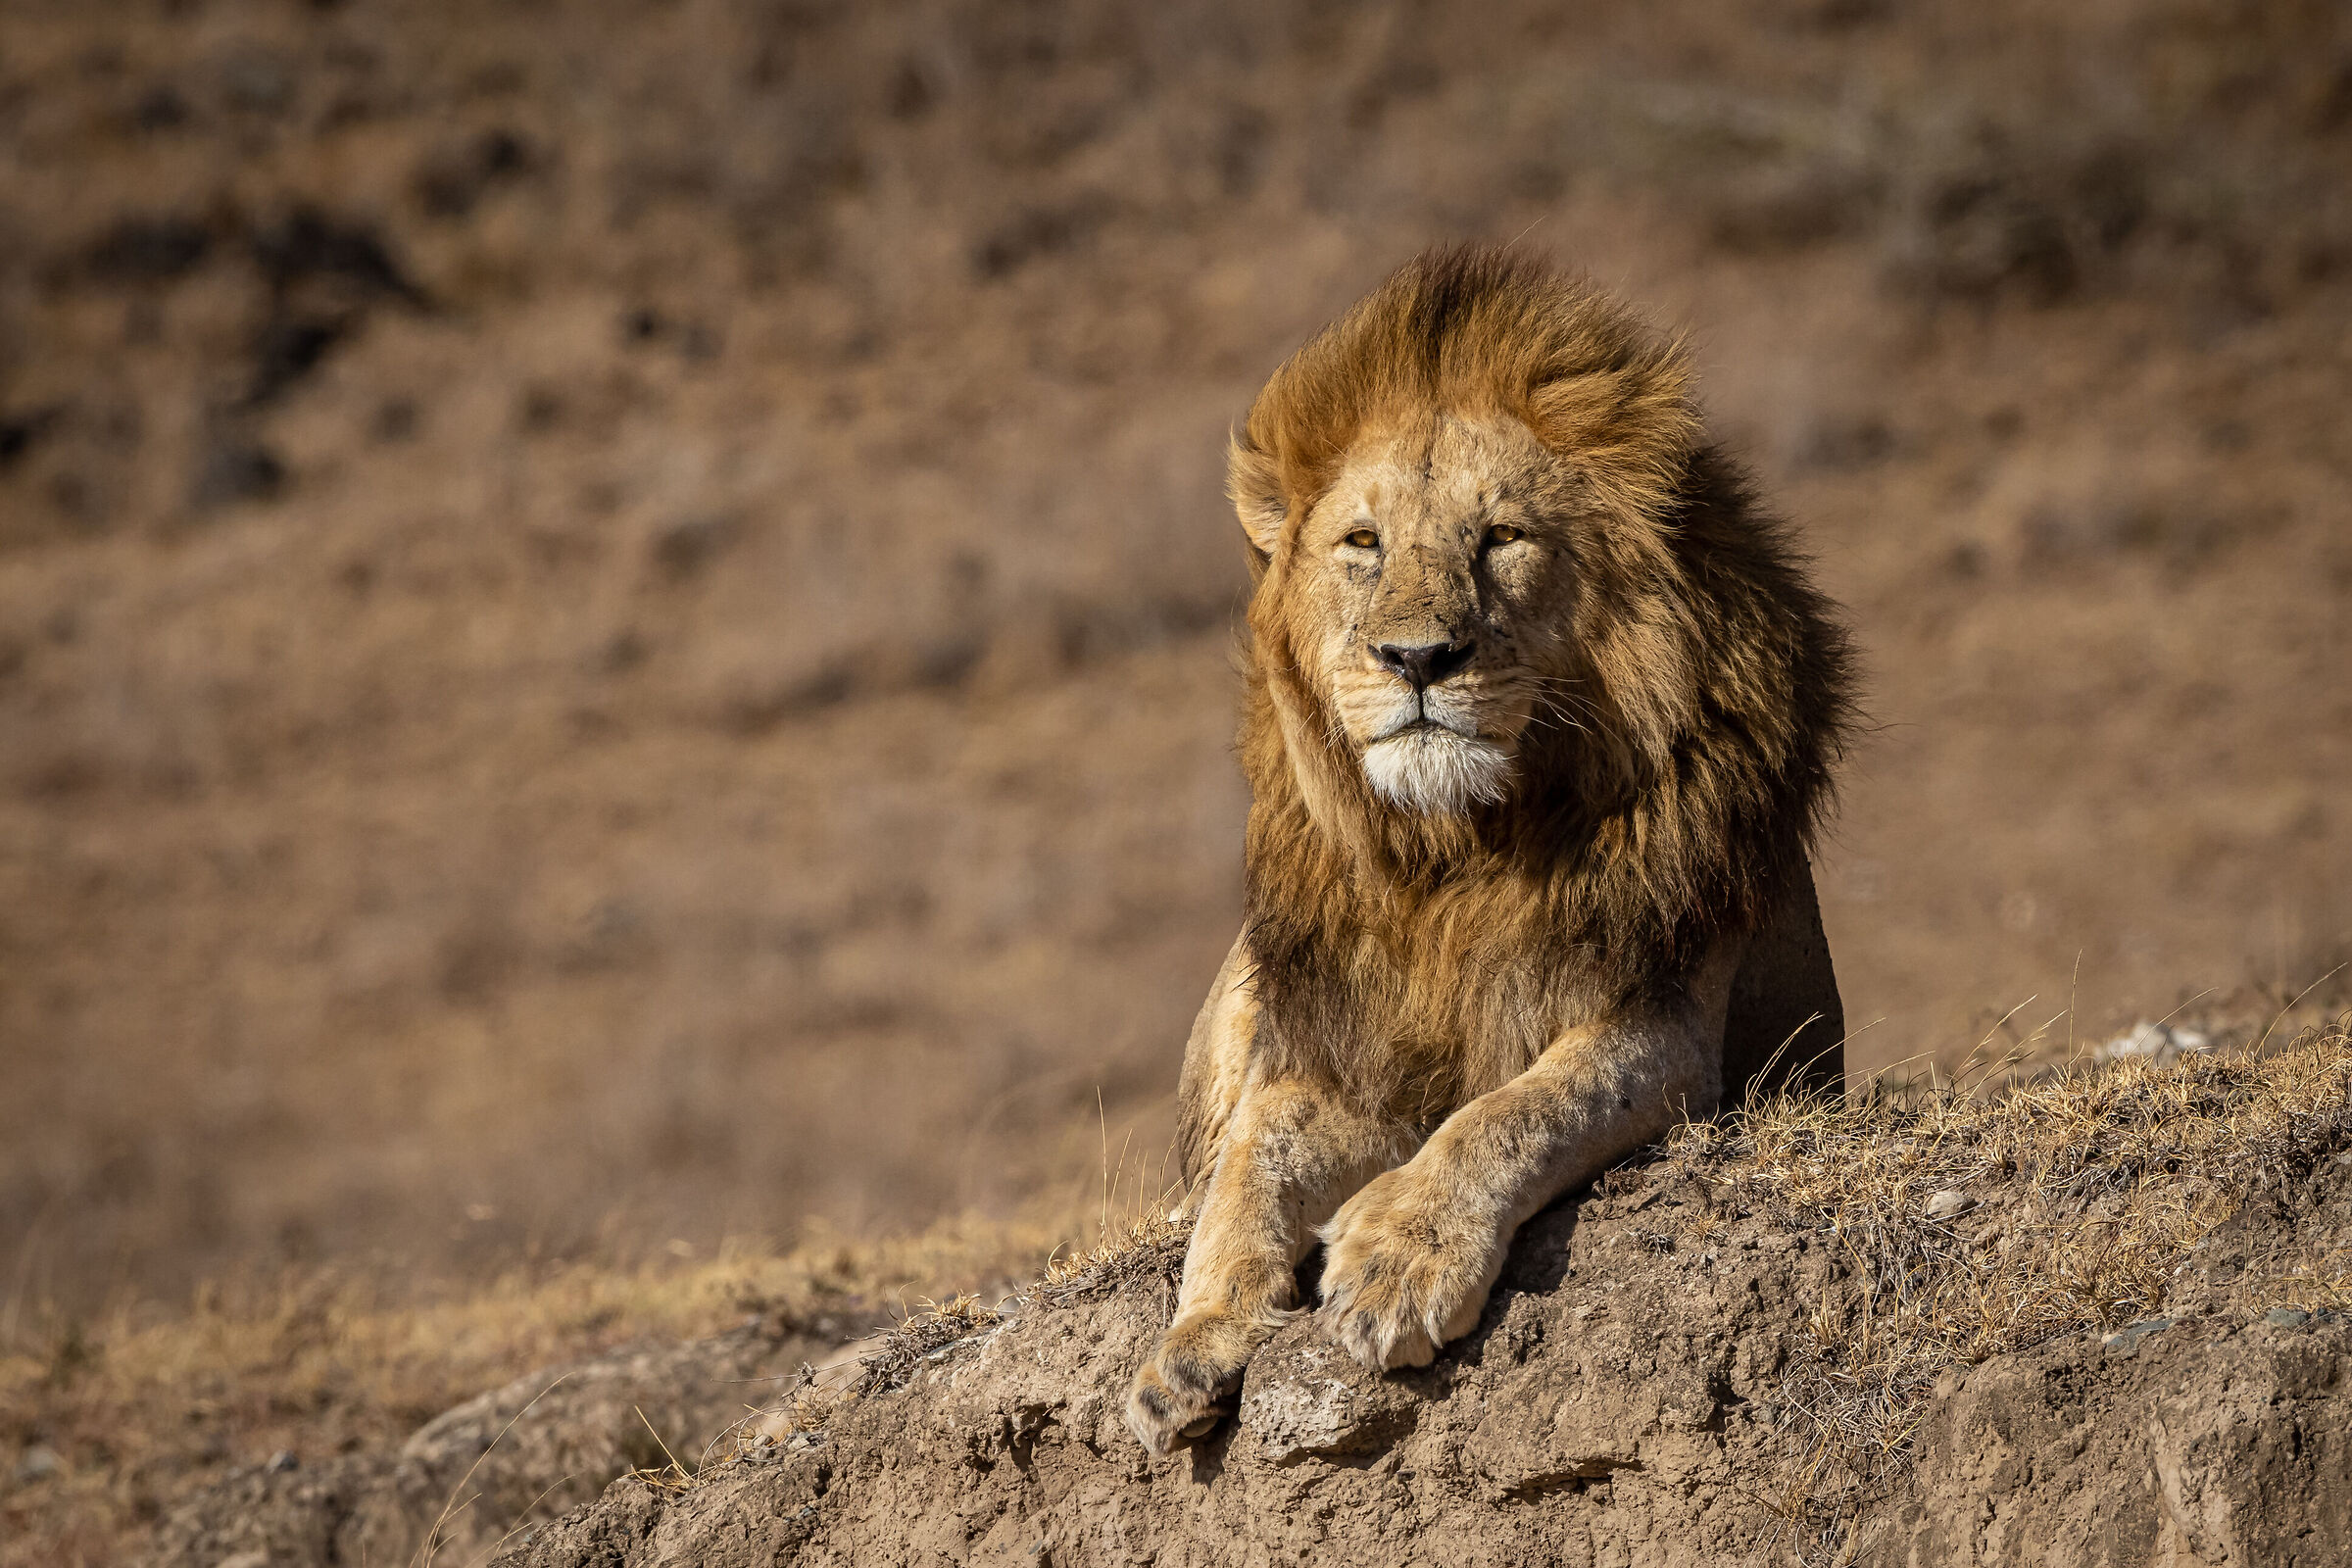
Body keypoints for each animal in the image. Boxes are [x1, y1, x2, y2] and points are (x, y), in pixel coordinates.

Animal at [1124, 245, 1858, 1454]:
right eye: (1362, 544)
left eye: (1502, 538)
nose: (1420, 658)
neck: (1457, 854)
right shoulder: (1344, 1053)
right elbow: (1252, 1163)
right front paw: (1196, 1337)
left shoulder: (1662, 1024)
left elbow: (1516, 1111)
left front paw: (1398, 1260)